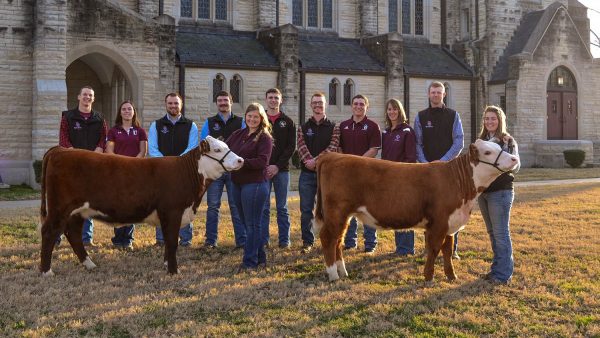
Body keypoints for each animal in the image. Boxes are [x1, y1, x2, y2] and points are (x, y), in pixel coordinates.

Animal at [39, 136, 244, 276]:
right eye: (217, 150)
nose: (241, 160)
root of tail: (60, 150)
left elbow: (169, 242)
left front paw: (166, 265)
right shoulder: (172, 211)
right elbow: (172, 241)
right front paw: (173, 271)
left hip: (78, 211)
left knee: (73, 234)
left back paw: (89, 264)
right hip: (59, 208)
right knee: (49, 232)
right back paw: (46, 271)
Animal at [314, 139, 520, 282]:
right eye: (488, 152)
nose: (514, 158)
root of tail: (332, 156)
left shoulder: (450, 223)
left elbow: (447, 250)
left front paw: (451, 276)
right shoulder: (439, 222)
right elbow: (435, 249)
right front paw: (428, 276)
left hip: (344, 215)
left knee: (338, 241)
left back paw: (343, 272)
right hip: (336, 212)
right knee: (328, 238)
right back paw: (333, 275)